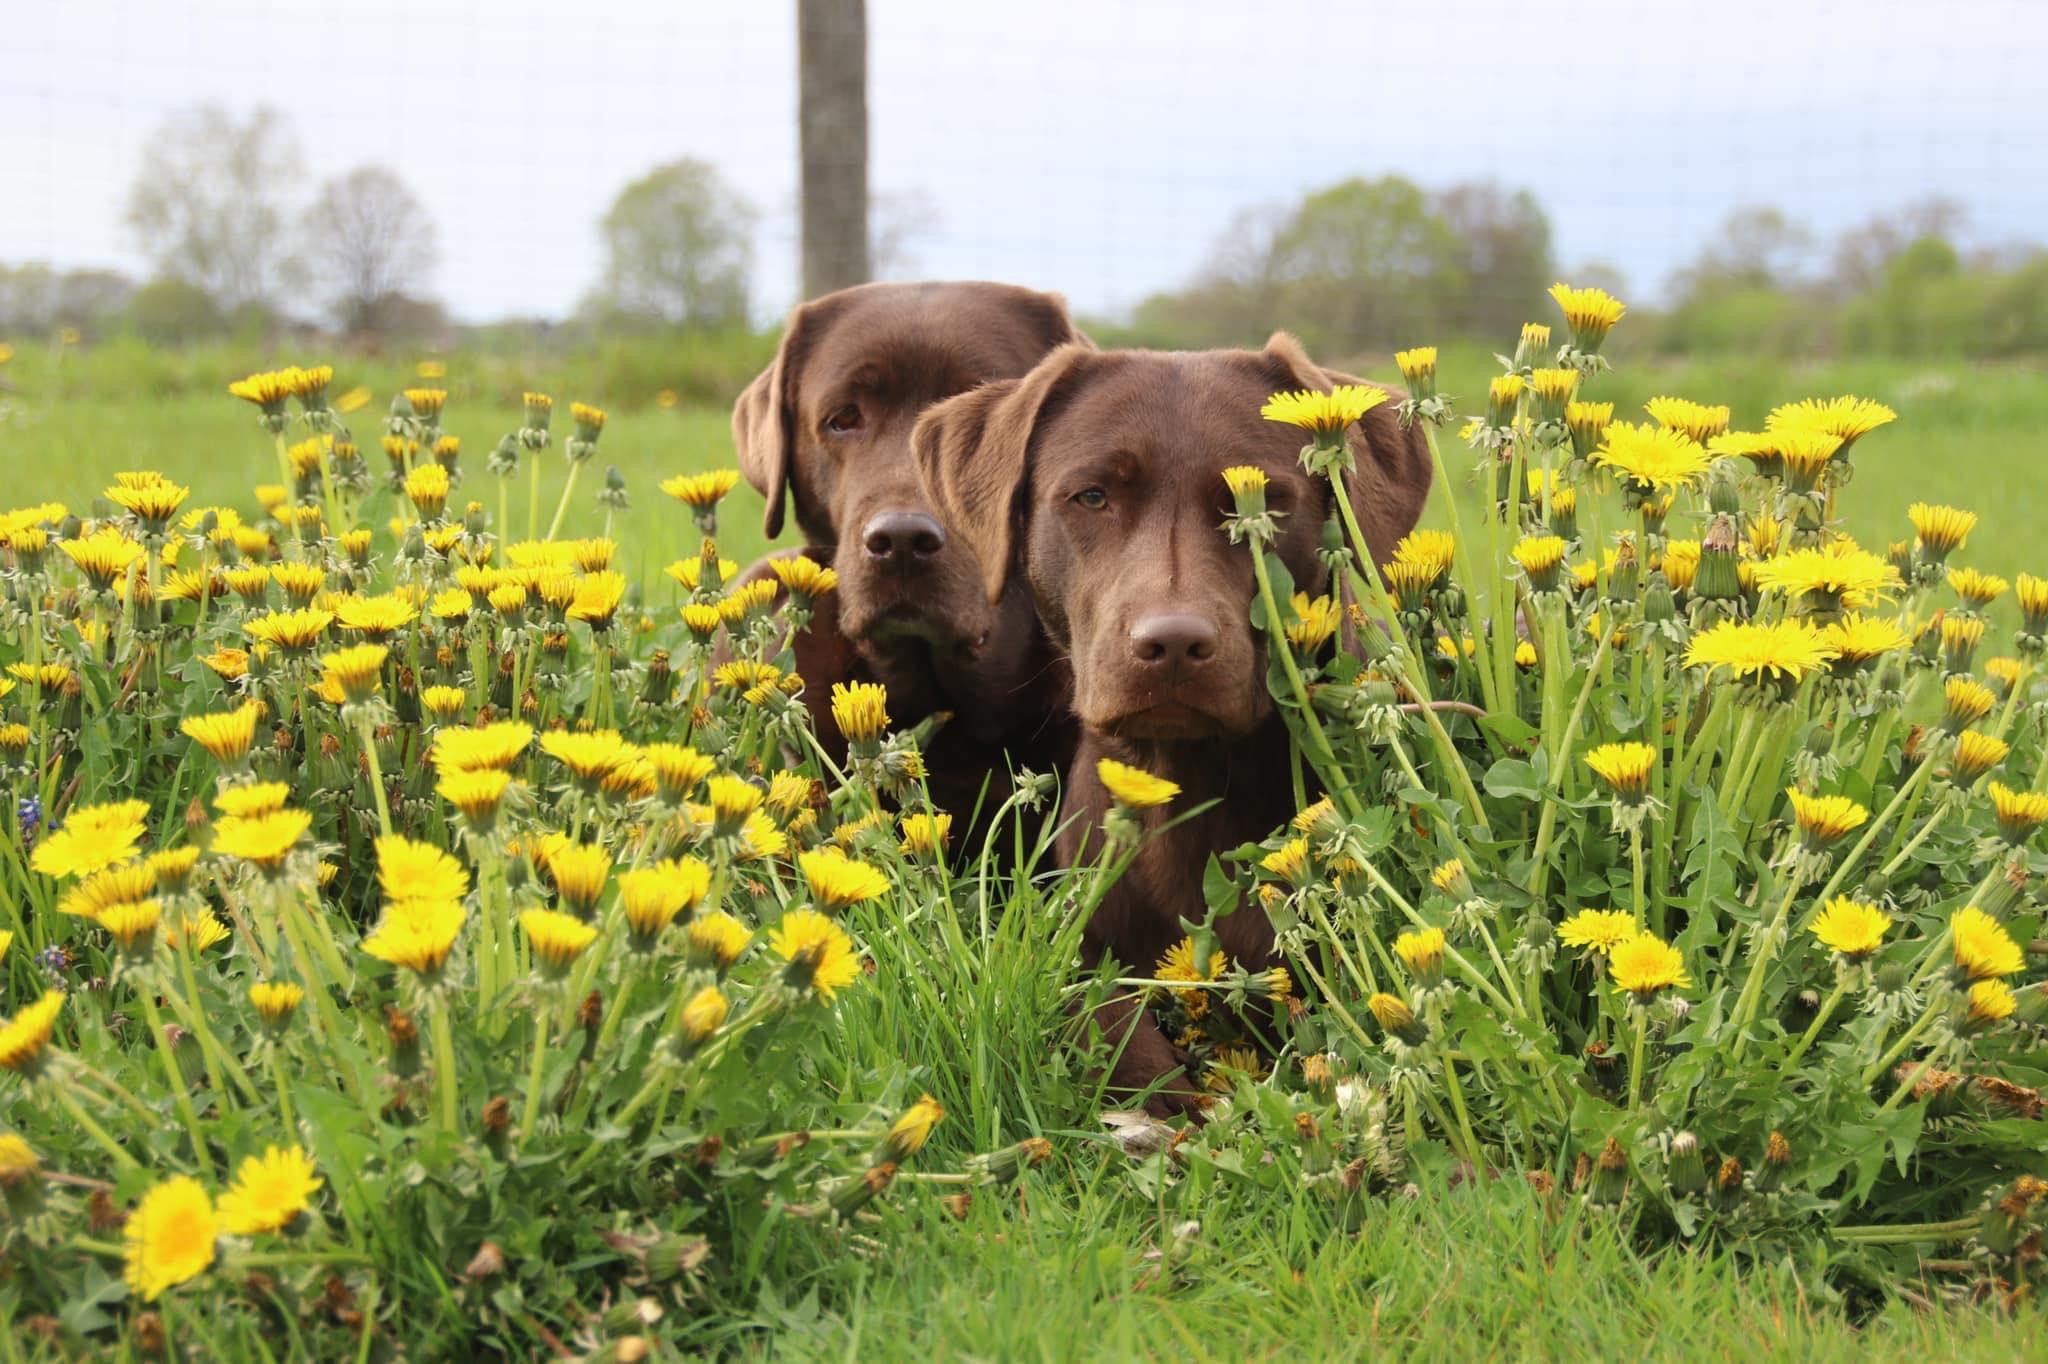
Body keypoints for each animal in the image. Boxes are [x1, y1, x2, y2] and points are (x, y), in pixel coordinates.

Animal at [913, 333, 1425, 1114]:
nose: (1174, 642)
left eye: (1264, 503)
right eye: (1093, 496)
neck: (1183, 786)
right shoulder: (1075, 944)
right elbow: (1100, 1017)